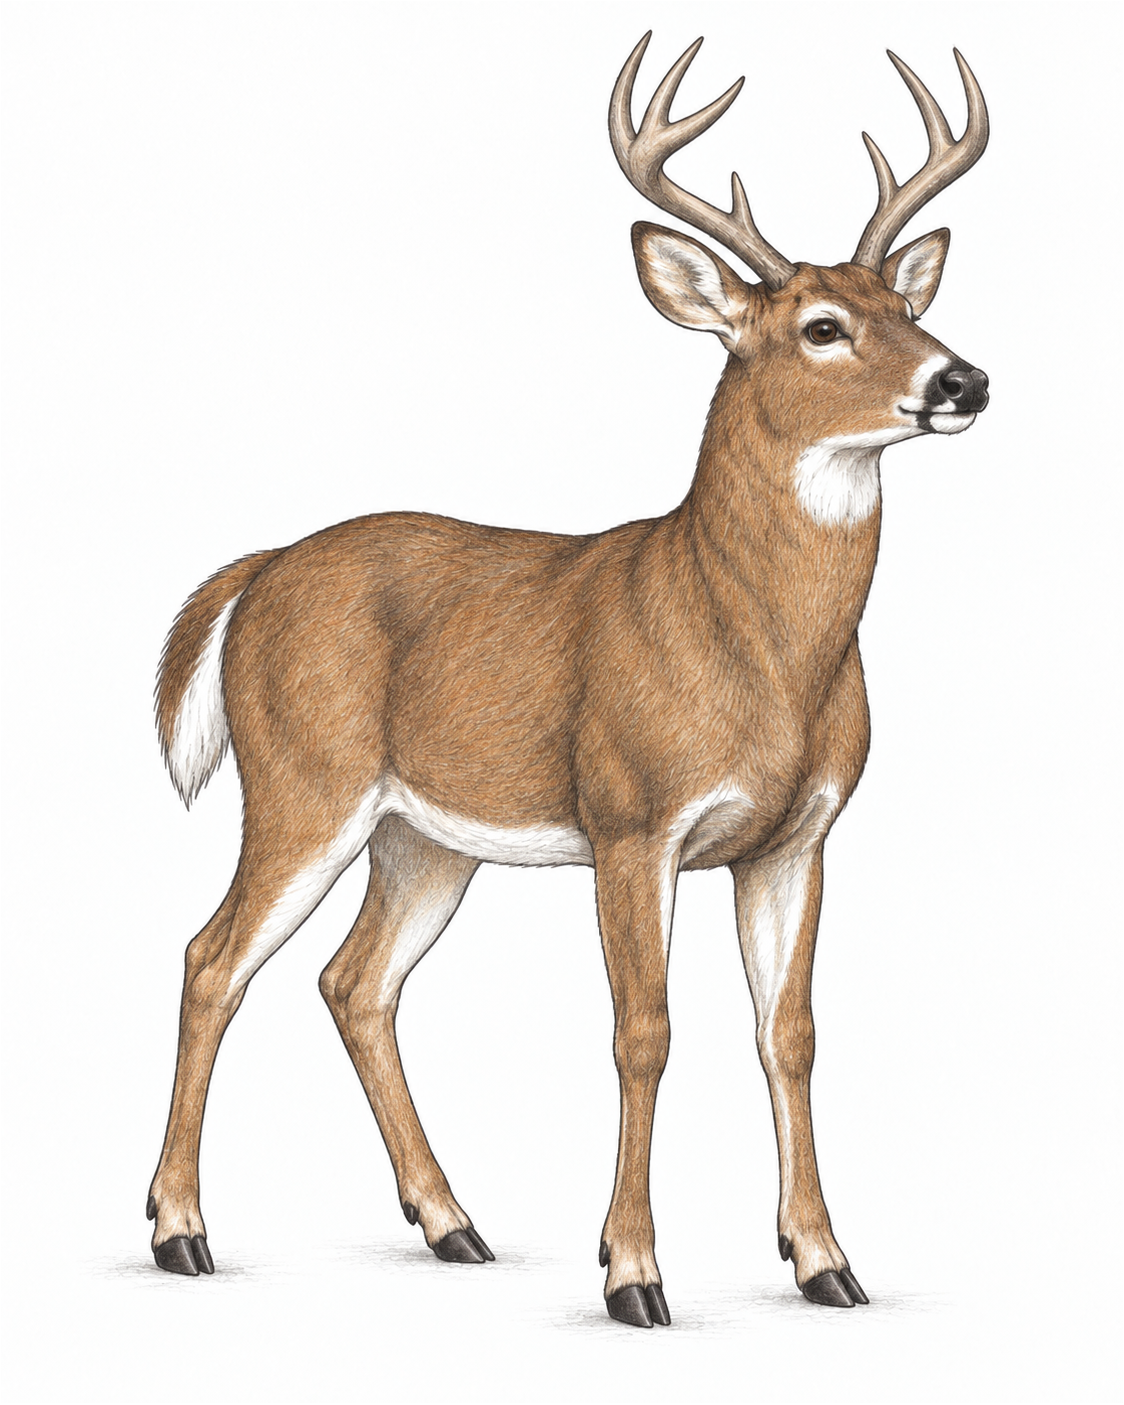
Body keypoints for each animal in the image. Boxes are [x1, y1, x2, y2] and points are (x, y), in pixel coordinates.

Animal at [146, 33, 989, 1327]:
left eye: (907, 304)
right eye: (820, 327)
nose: (961, 381)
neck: (748, 643)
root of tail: (258, 570)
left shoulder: (797, 837)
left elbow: (788, 1032)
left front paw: (824, 1262)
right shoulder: (632, 815)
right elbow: (641, 1030)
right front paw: (633, 1273)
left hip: (423, 837)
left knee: (353, 980)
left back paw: (452, 1223)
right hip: (301, 780)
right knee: (211, 958)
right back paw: (181, 1230)